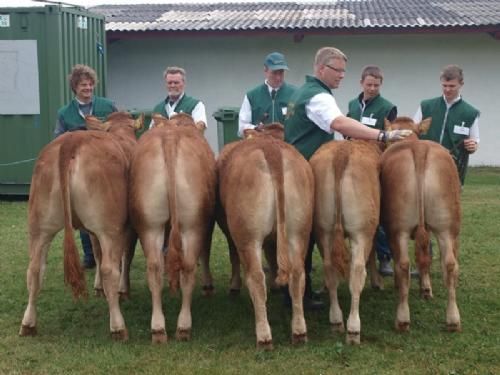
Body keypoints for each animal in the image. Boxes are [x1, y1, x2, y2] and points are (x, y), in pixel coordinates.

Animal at [19, 111, 143, 340]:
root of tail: (72, 140)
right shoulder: (128, 227)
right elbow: (125, 256)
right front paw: (123, 290)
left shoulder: (92, 230)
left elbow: (96, 253)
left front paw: (99, 289)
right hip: (109, 228)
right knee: (109, 269)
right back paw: (118, 327)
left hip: (39, 224)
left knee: (34, 269)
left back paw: (28, 324)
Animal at [128, 113, 216, 346]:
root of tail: (170, 138)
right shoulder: (207, 224)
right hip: (193, 225)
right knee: (188, 267)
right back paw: (183, 326)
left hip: (150, 226)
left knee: (155, 267)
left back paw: (158, 329)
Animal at [216, 125, 312, 350]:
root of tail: (272, 150)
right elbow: (272, 256)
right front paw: (276, 284)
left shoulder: (229, 229)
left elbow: (234, 256)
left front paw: (234, 287)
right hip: (299, 232)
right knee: (297, 275)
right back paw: (299, 332)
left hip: (248, 237)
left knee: (256, 278)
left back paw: (264, 336)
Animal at [310, 140, 380, 344]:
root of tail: (342, 152)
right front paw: (377, 282)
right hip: (361, 232)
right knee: (356, 273)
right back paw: (353, 328)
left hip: (323, 229)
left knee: (329, 269)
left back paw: (336, 320)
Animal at [382, 117, 460, 332]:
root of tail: (419, 149)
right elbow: (425, 256)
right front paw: (426, 289)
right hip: (448, 226)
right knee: (449, 264)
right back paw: (453, 320)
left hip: (397, 229)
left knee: (403, 263)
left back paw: (402, 318)